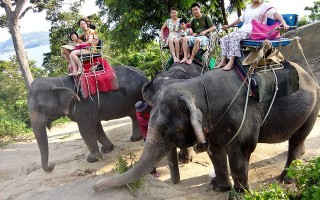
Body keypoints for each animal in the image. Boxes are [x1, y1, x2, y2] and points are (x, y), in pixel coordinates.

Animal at [92, 61, 320, 193]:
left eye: (168, 130)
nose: (95, 188)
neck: (196, 87)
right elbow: (215, 151)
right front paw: (219, 187)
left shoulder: (242, 115)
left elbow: (239, 153)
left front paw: (239, 195)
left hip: (313, 107)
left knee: (297, 140)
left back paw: (286, 178)